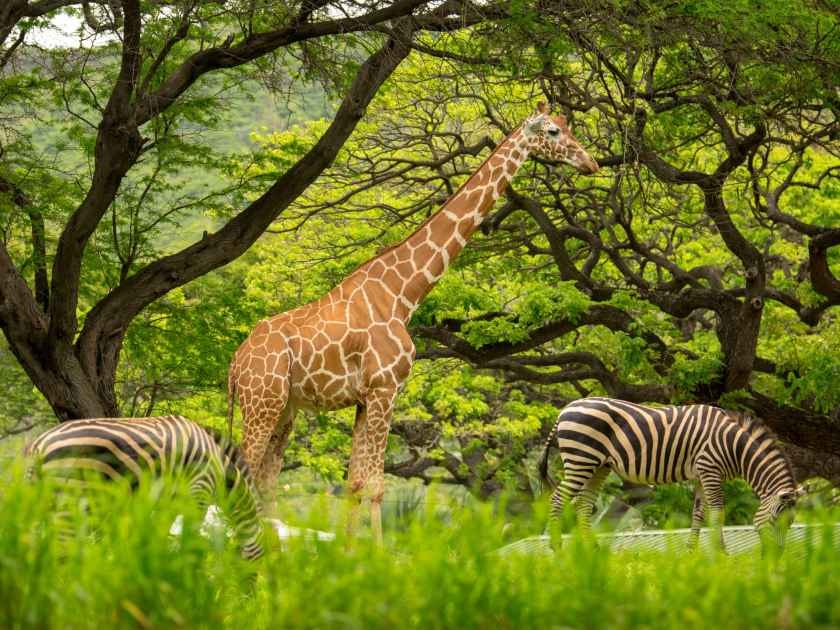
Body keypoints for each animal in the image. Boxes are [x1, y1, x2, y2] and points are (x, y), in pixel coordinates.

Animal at [26, 418, 264, 560]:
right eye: (261, 560)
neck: (221, 469)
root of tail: (39, 444)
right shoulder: (199, 490)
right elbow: (190, 542)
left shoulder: (170, 502)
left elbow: (159, 537)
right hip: (71, 501)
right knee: (62, 552)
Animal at [226, 101, 600, 540]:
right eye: (554, 131)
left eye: (567, 126)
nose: (590, 162)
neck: (402, 295)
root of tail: (235, 363)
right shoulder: (385, 389)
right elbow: (375, 485)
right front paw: (374, 552)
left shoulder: (364, 398)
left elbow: (355, 483)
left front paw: (349, 551)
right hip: (262, 401)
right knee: (243, 474)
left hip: (286, 408)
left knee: (265, 480)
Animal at [540, 400, 800, 552]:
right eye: (776, 520)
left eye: (791, 523)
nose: (777, 556)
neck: (734, 445)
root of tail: (565, 409)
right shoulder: (710, 469)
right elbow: (717, 511)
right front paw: (720, 551)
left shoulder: (701, 474)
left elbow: (698, 512)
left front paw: (691, 550)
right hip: (581, 459)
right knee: (558, 499)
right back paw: (557, 546)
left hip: (598, 465)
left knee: (583, 504)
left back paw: (592, 548)